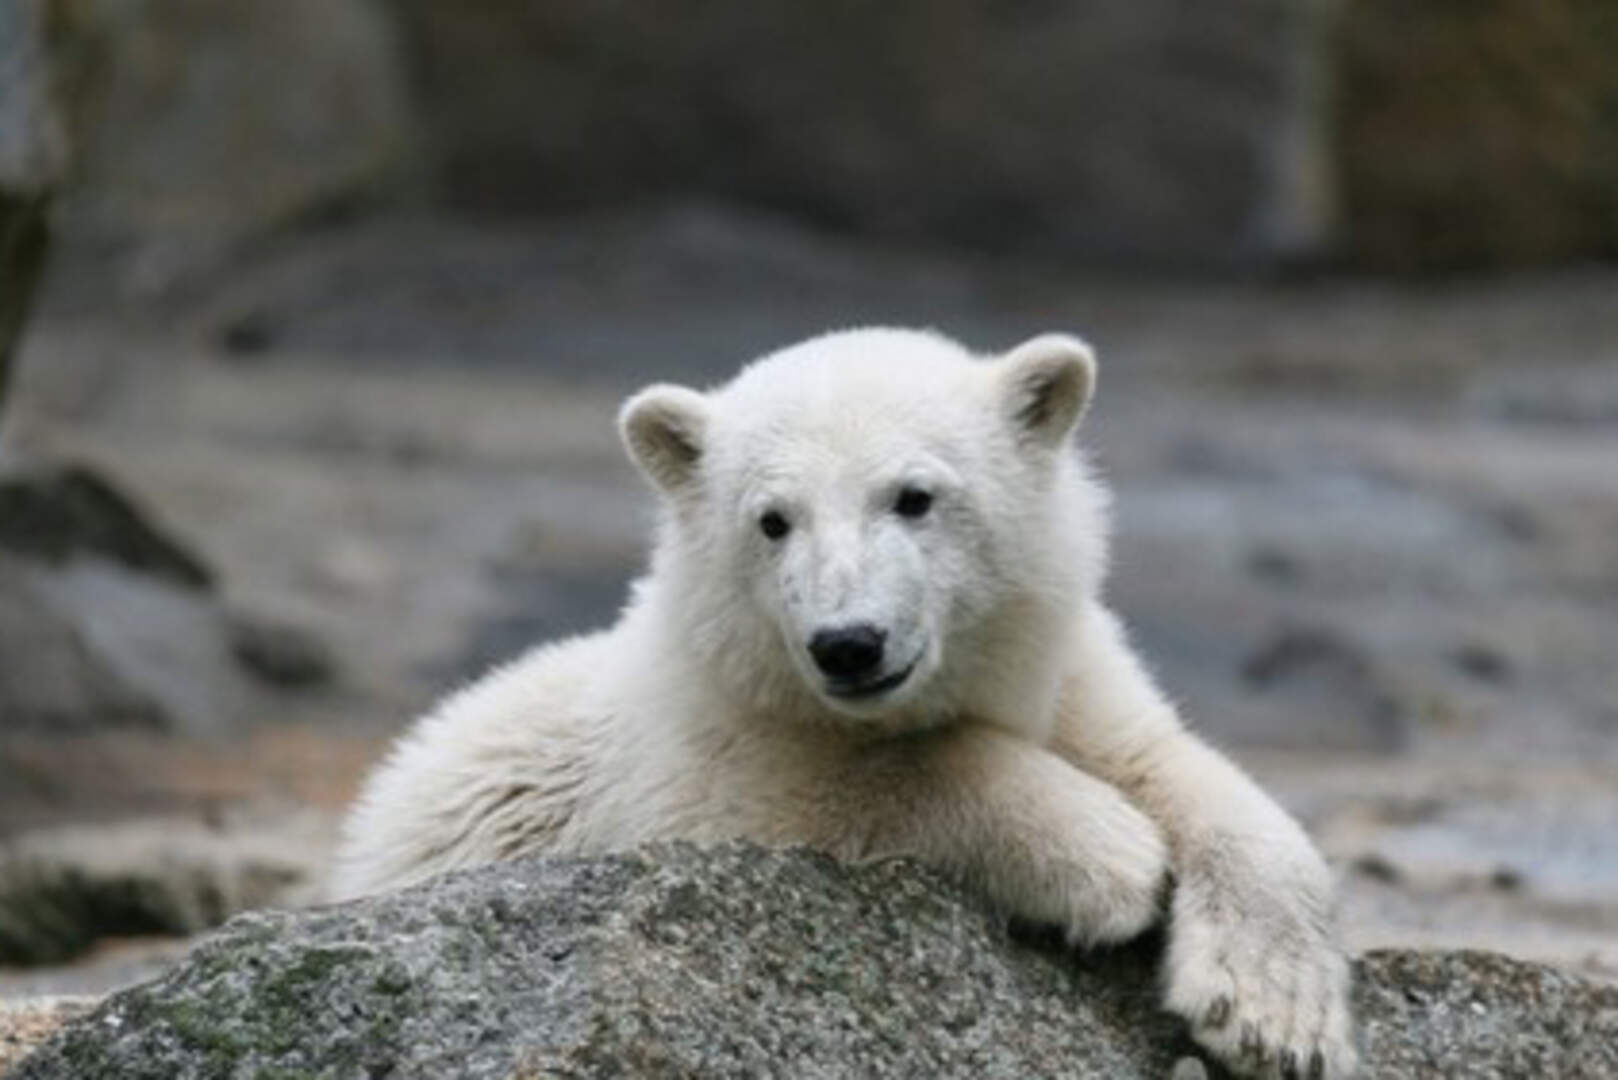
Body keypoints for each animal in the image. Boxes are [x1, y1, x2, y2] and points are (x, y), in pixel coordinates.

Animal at [332, 328, 1357, 1079]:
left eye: (914, 497)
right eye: (772, 520)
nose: (849, 643)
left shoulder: (1071, 677)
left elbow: (1181, 768)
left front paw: (1271, 1014)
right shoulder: (686, 764)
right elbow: (839, 785)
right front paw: (1107, 857)